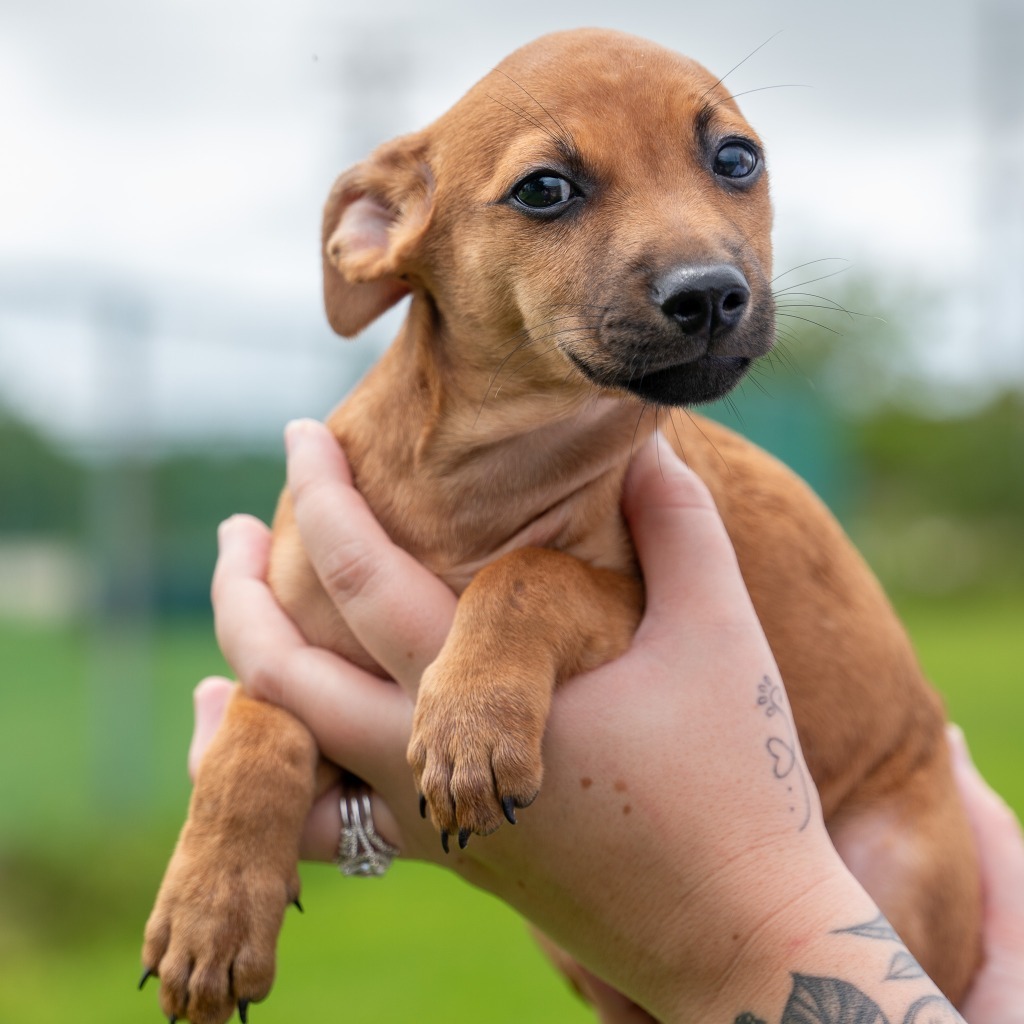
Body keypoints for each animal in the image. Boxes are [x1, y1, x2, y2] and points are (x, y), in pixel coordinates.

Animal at [144, 28, 983, 1019]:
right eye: (544, 188)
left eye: (736, 160)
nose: (711, 293)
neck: (476, 478)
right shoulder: (300, 651)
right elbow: (255, 727)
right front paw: (209, 910)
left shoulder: (630, 601)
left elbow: (528, 574)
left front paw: (470, 727)